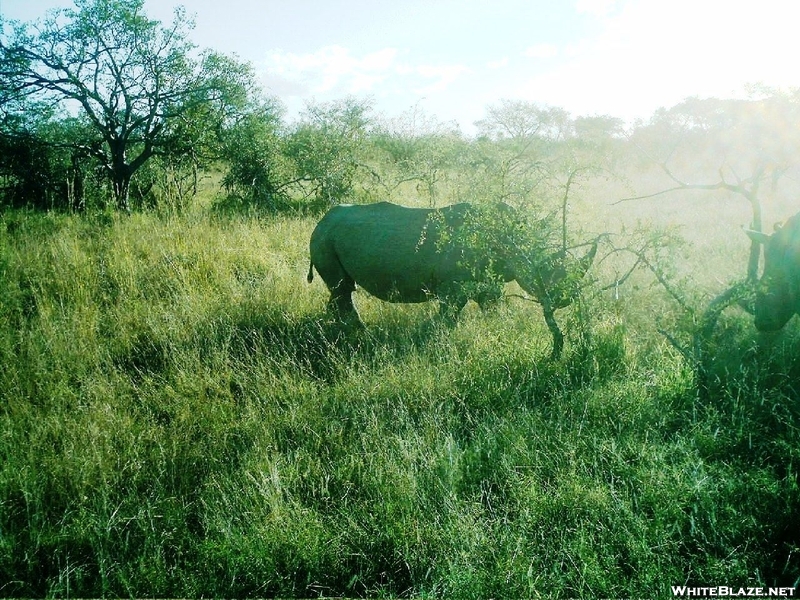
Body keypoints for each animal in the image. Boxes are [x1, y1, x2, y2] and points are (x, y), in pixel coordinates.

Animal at [310, 202, 596, 358]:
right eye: (545, 269)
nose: (566, 298)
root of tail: (321, 220)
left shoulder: (487, 281)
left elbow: (492, 307)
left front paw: (495, 330)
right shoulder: (454, 286)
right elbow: (448, 316)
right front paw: (432, 340)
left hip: (330, 236)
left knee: (341, 289)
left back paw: (344, 330)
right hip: (324, 238)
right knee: (342, 288)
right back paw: (358, 331)